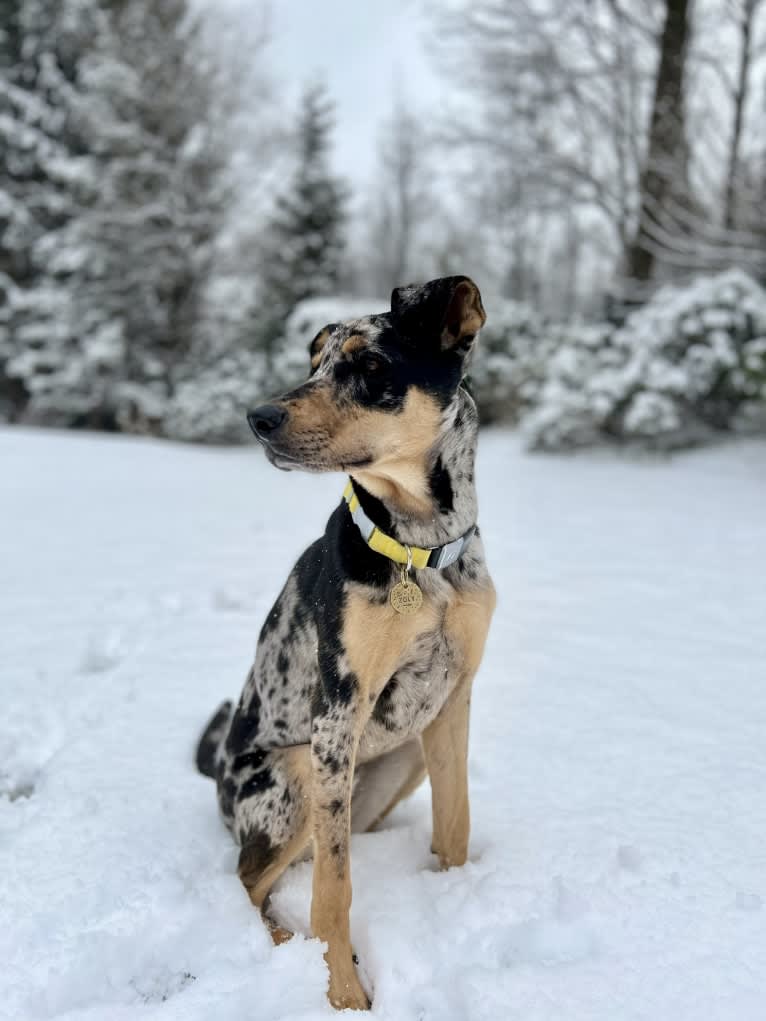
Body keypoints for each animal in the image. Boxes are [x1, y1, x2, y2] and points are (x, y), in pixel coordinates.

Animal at [196, 275, 498, 1008]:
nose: (259, 417)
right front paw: (342, 991)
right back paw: (284, 946)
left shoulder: (453, 699)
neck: (419, 552)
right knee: (248, 879)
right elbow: (334, 889)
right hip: (298, 777)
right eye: (315, 363)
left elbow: (455, 825)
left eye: (369, 367)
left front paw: (453, 897)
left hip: (402, 758)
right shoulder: (337, 715)